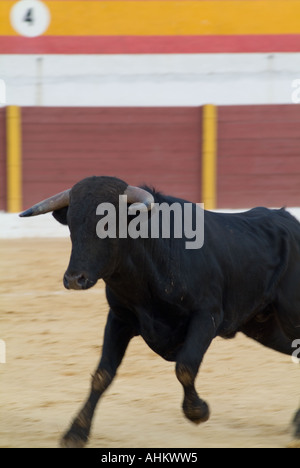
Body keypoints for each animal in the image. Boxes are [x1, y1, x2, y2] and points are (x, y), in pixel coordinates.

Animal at [19, 177, 298, 448]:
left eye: (109, 225)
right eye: (72, 225)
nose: (75, 279)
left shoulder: (206, 315)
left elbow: (185, 367)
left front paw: (199, 412)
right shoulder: (118, 319)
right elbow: (102, 374)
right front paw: (76, 433)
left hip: (289, 318)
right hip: (265, 327)